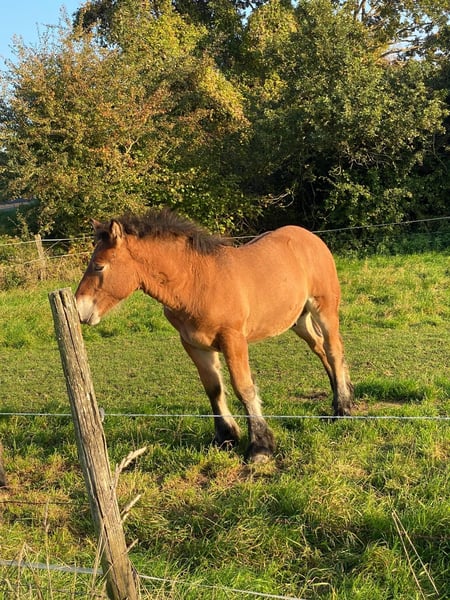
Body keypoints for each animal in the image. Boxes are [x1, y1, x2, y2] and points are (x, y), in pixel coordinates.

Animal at [75, 209, 354, 463]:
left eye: (99, 266)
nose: (79, 309)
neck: (195, 284)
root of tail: (310, 237)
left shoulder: (233, 340)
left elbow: (243, 387)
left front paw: (260, 447)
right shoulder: (194, 344)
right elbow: (213, 388)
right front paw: (226, 437)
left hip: (325, 309)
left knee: (333, 349)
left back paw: (343, 407)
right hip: (298, 319)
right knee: (320, 348)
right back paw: (339, 394)